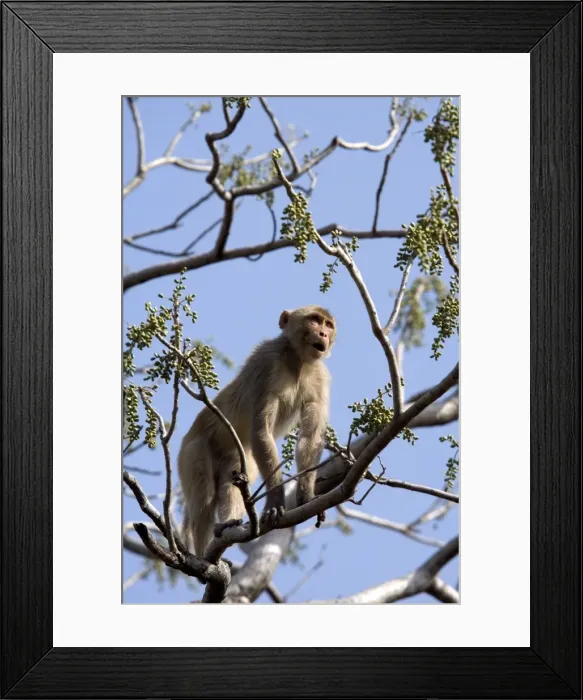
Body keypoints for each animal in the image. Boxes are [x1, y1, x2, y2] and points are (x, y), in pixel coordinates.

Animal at [178, 305, 335, 557]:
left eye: (328, 325)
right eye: (314, 320)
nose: (323, 334)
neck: (298, 361)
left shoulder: (321, 378)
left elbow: (310, 438)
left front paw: (307, 495)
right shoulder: (267, 361)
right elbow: (262, 431)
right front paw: (275, 501)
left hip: (240, 457)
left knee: (231, 482)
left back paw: (227, 524)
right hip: (192, 449)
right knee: (204, 498)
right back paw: (203, 557)